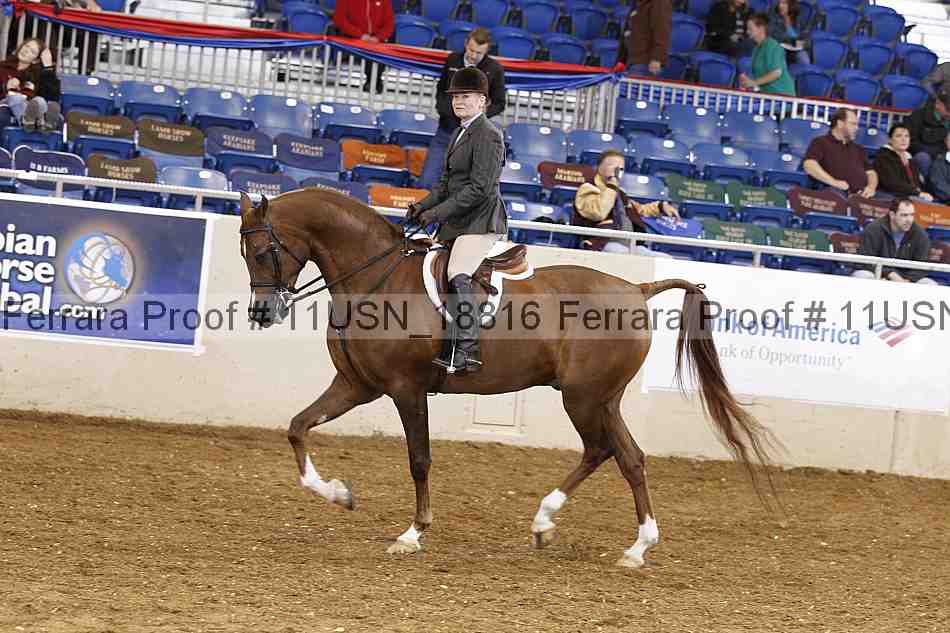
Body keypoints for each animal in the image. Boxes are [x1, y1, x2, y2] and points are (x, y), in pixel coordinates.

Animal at [237, 188, 778, 568]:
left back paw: (581, 530)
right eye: (245, 255)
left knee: (607, 452)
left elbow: (419, 460)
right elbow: (298, 427)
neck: (376, 279)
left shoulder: (405, 390)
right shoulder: (357, 385)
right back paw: (614, 541)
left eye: (263, 252)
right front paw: (340, 494)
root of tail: (637, 288)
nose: (261, 313)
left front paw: (412, 534)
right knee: (625, 456)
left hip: (584, 397)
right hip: (601, 398)